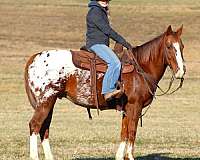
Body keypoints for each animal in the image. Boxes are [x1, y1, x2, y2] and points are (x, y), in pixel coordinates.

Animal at [24, 25, 185, 160]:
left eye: (182, 46)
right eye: (169, 46)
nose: (181, 71)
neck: (141, 68)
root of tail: (35, 57)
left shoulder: (127, 109)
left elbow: (124, 132)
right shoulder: (135, 107)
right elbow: (131, 132)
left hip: (49, 102)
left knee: (44, 128)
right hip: (46, 101)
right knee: (35, 125)